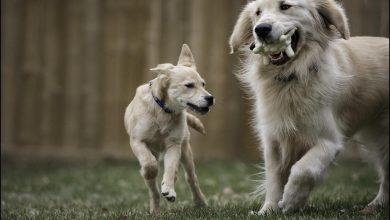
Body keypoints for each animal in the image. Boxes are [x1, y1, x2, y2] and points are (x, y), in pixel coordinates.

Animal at [124, 43, 213, 213]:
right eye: (189, 85)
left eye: (203, 84)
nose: (210, 98)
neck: (163, 111)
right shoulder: (137, 141)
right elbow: (149, 164)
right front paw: (150, 171)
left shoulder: (174, 144)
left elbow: (171, 168)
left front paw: (169, 190)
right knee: (152, 189)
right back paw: (155, 209)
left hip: (185, 149)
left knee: (191, 178)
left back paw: (200, 202)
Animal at [230, 0, 388, 216]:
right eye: (257, 13)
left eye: (285, 6)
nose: (261, 29)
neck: (292, 77)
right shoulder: (273, 139)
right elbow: (273, 178)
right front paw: (268, 210)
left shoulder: (329, 141)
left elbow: (302, 170)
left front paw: (291, 200)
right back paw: (375, 205)